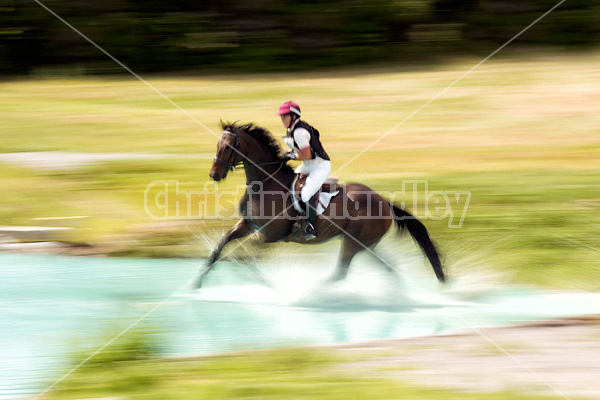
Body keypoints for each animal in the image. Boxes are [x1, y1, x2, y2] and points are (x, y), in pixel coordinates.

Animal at [197, 122, 446, 288]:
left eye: (228, 147)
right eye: (217, 145)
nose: (213, 175)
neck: (265, 182)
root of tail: (385, 201)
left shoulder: (269, 235)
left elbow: (247, 259)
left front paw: (263, 282)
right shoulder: (248, 225)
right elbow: (221, 245)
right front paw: (198, 281)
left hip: (352, 242)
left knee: (340, 272)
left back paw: (312, 290)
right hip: (365, 244)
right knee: (387, 267)